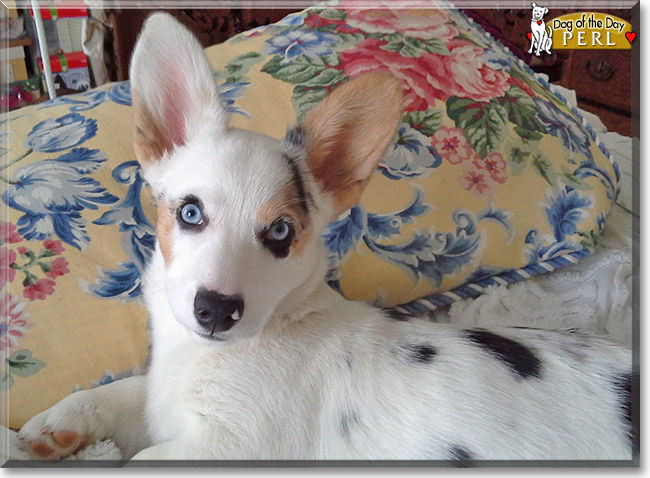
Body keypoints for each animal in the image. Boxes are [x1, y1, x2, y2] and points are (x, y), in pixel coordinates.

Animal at [19, 12, 632, 464]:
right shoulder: (163, 406)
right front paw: (58, 422)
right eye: (190, 213)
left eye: (281, 232)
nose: (215, 311)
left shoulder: (224, 448)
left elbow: (140, 460)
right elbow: (126, 393)